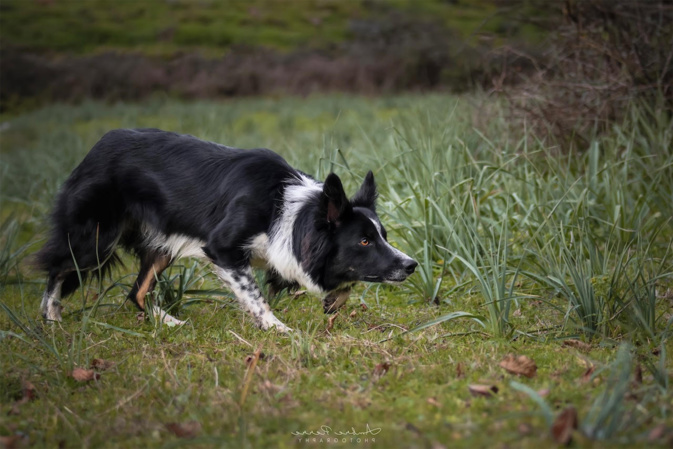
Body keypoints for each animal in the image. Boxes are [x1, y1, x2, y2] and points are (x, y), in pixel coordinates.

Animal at [36, 128, 418, 330]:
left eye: (383, 237)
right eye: (364, 241)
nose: (412, 265)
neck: (284, 210)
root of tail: (97, 146)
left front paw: (333, 303)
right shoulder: (222, 248)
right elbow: (255, 295)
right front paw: (278, 329)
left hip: (163, 247)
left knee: (137, 292)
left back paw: (170, 324)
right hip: (95, 238)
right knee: (59, 268)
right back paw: (51, 317)